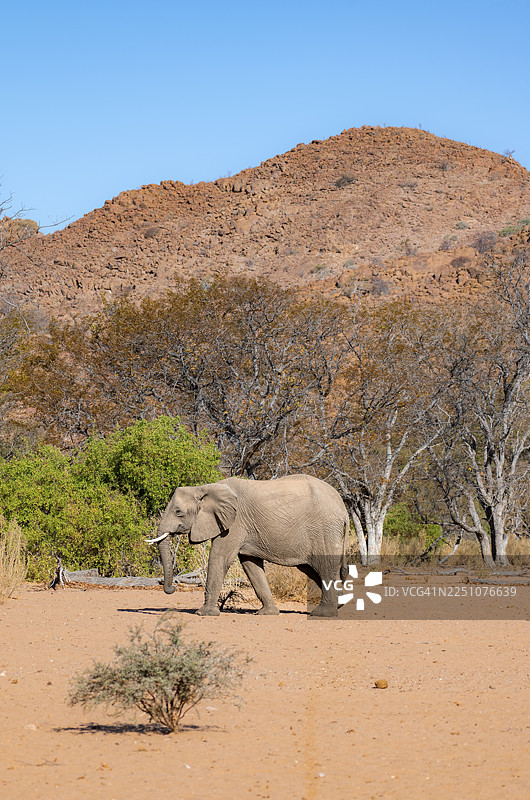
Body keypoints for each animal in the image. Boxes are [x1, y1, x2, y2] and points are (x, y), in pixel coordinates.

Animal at [149, 474, 350, 617]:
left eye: (178, 512)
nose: (172, 589)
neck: (205, 487)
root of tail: (343, 508)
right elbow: (250, 565)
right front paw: (267, 613)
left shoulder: (235, 524)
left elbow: (219, 557)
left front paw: (204, 613)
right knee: (311, 569)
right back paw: (339, 604)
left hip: (324, 530)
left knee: (324, 567)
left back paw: (323, 613)